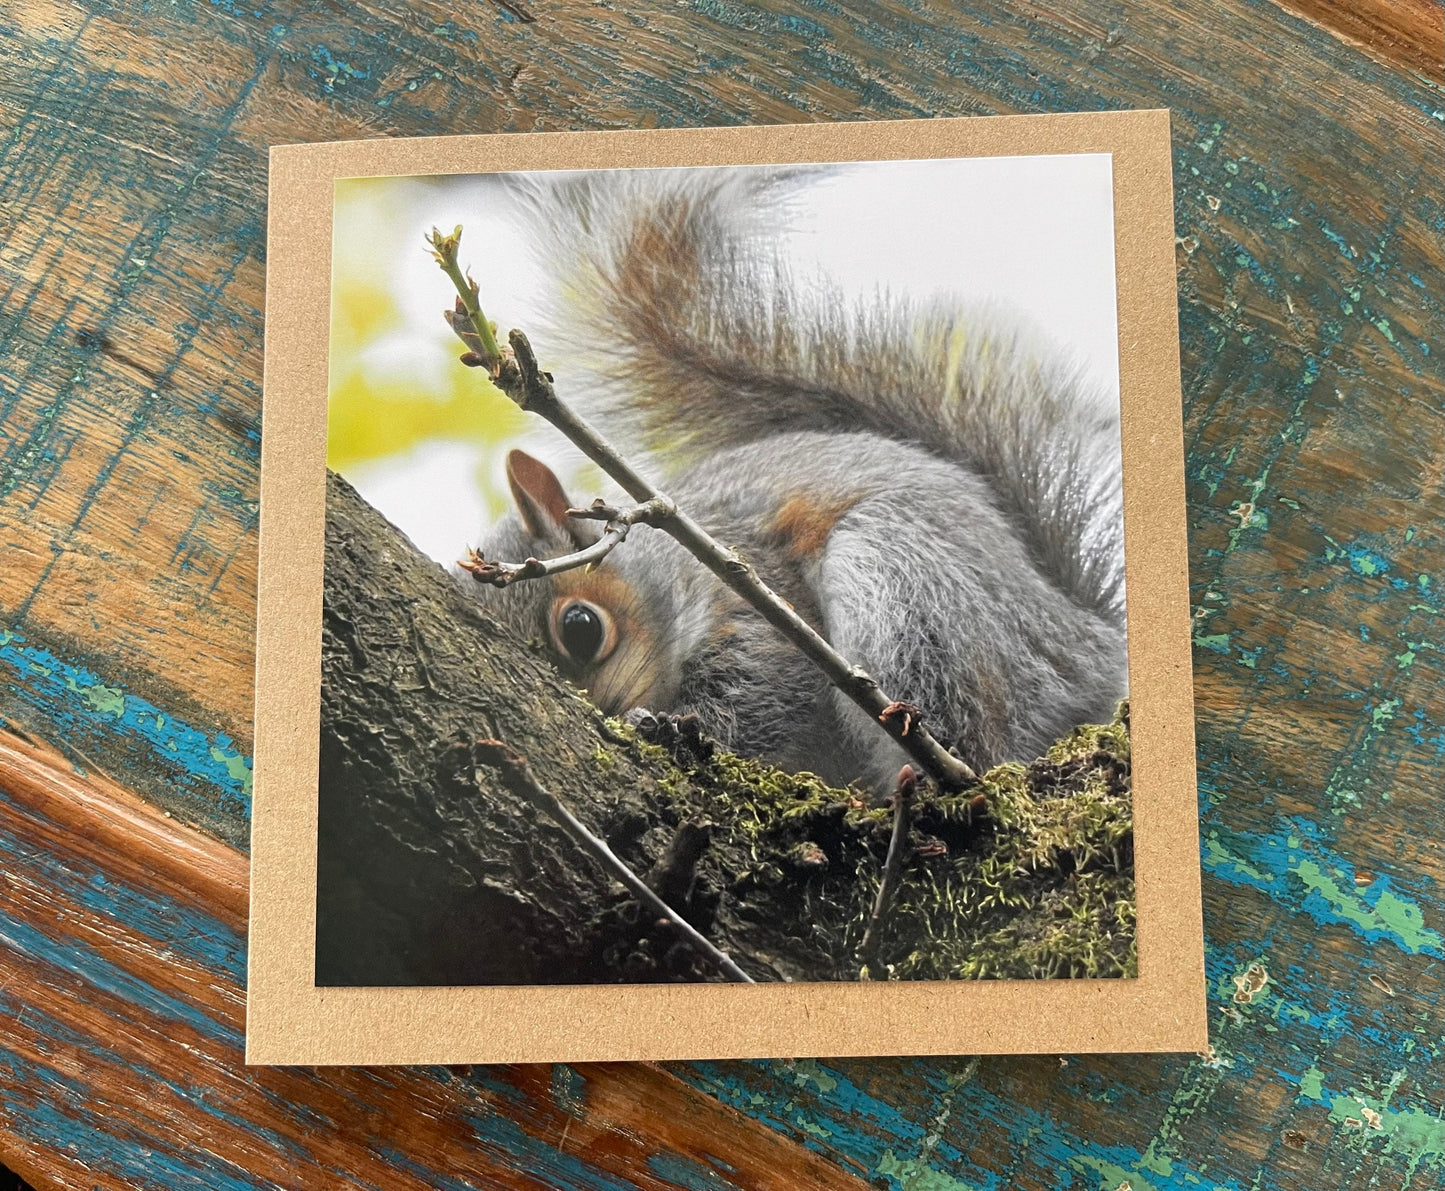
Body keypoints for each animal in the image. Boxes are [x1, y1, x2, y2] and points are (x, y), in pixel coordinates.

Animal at [459, 167, 1128, 793]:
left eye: (581, 629)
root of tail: (1092, 652)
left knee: (974, 739)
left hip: (909, 583)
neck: (672, 573)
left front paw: (669, 728)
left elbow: (767, 699)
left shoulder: (756, 611)